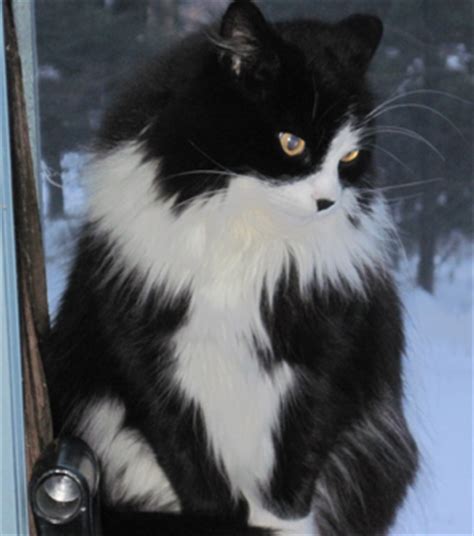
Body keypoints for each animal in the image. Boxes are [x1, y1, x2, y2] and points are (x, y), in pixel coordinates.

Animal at [43, 2, 418, 532]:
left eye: (350, 156)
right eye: (291, 143)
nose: (327, 201)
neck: (246, 236)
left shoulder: (330, 344)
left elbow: (300, 454)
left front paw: (280, 518)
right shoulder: (141, 346)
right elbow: (184, 449)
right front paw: (223, 516)